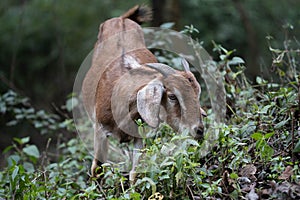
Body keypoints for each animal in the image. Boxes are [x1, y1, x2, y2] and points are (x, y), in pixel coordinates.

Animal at [81, 5, 206, 182]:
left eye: (197, 93)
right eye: (172, 96)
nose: (199, 130)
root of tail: (122, 19)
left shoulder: (139, 134)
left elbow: (135, 173)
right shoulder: (100, 129)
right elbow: (97, 169)